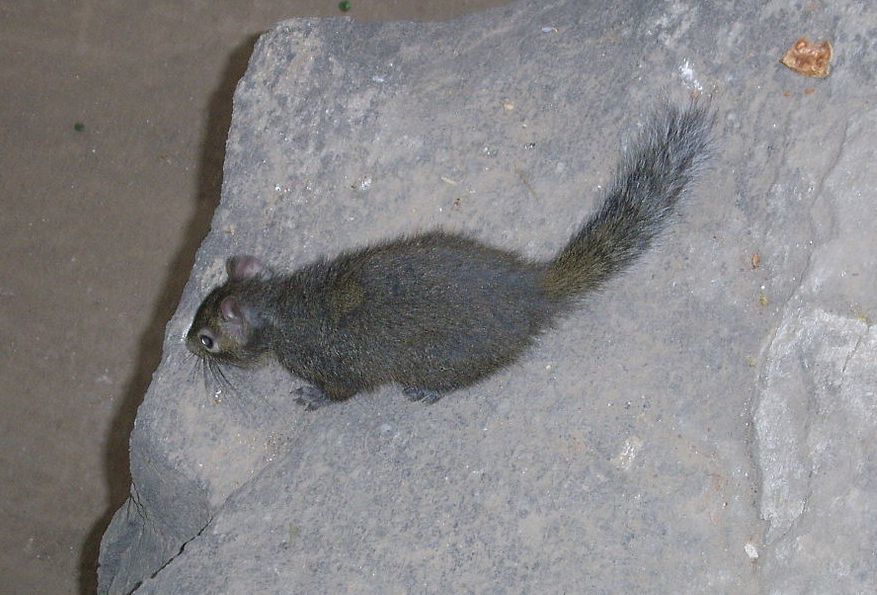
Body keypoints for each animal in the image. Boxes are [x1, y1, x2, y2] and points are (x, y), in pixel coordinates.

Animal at [186, 101, 714, 409]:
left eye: (208, 339)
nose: (187, 344)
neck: (280, 303)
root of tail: (532, 290)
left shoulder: (330, 363)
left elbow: (341, 392)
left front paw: (313, 399)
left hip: (440, 360)